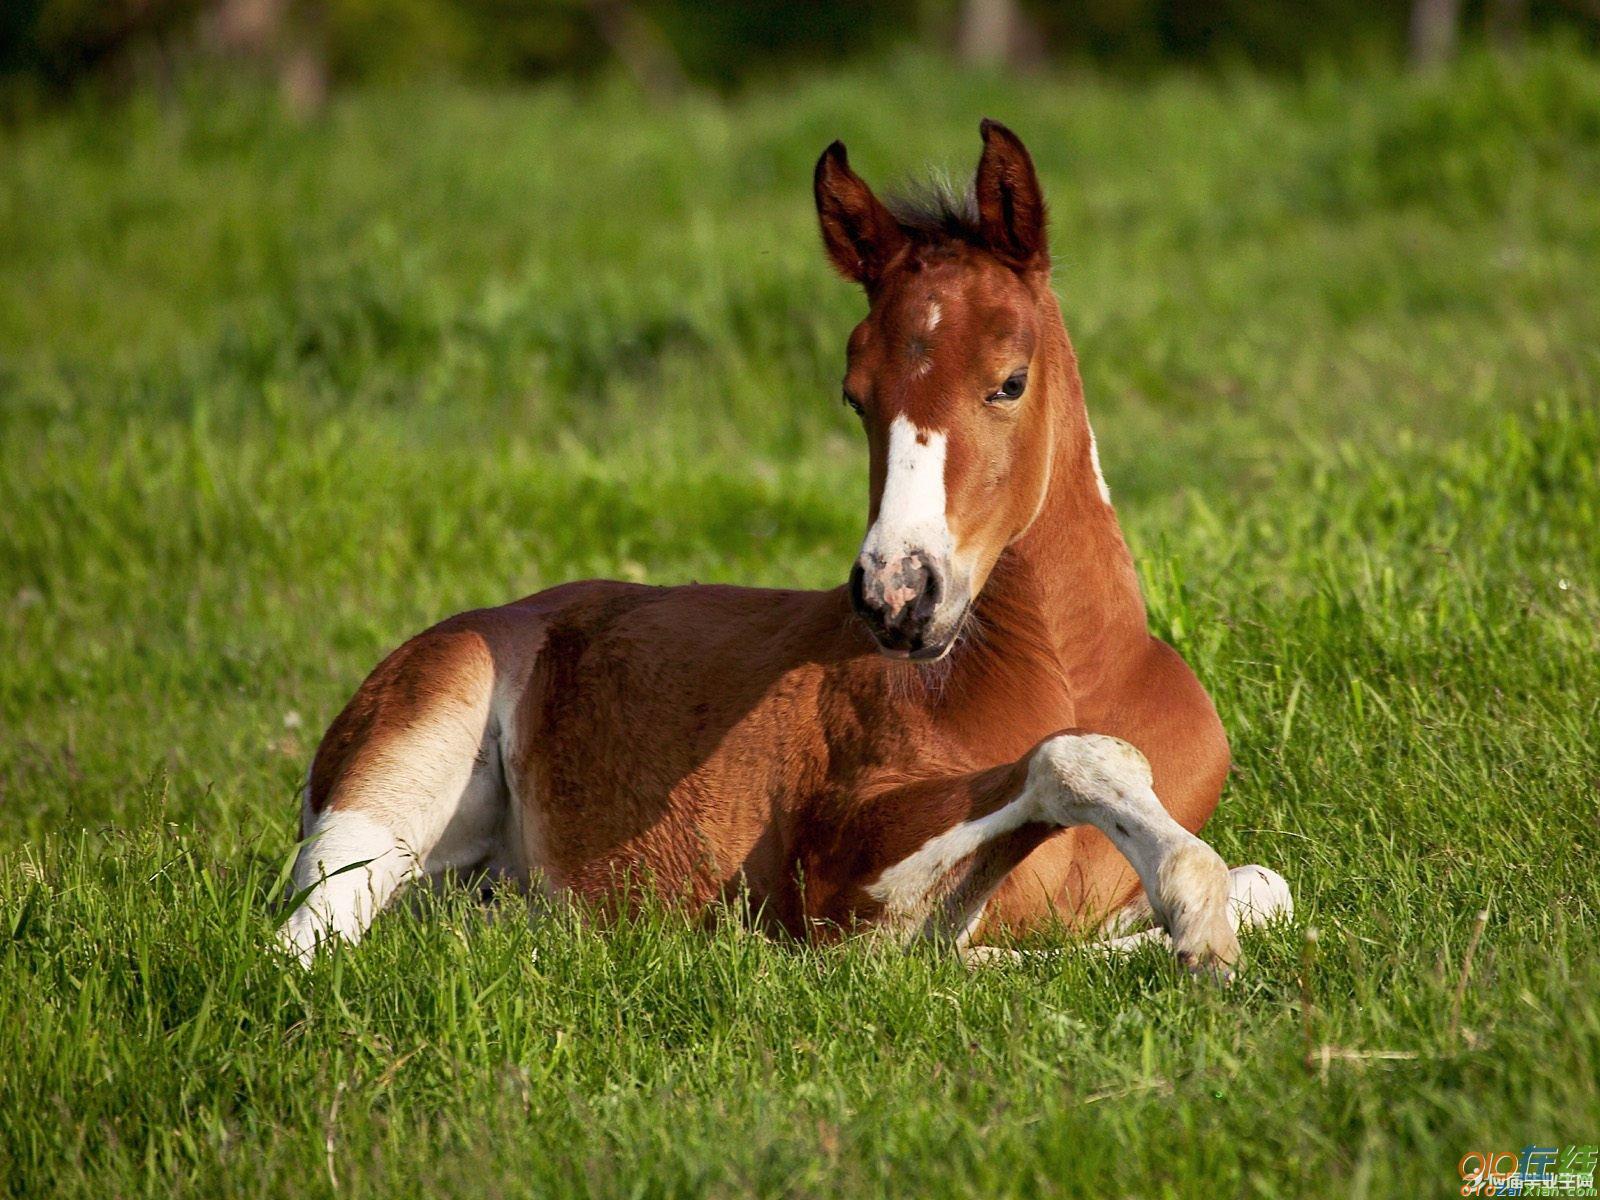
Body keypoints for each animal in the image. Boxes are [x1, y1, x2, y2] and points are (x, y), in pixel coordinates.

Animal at [281, 117, 1292, 979]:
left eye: (1010, 380)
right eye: (855, 395)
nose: (897, 595)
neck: (1073, 673)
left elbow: (1269, 887)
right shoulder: (833, 874)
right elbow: (1061, 777)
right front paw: (1193, 917)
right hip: (397, 771)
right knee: (306, 940)